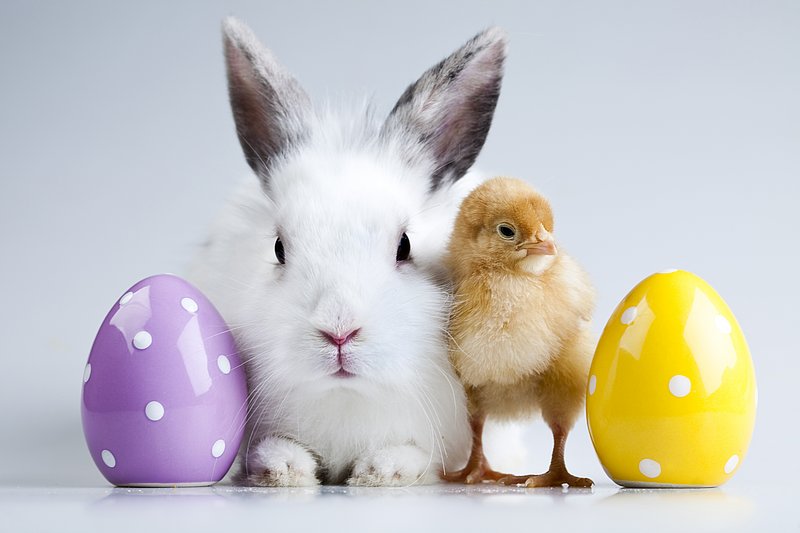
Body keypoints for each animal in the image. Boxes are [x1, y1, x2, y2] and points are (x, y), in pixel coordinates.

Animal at [189, 17, 506, 486]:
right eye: (279, 248)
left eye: (404, 246)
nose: (339, 332)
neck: (346, 395)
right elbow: (272, 449)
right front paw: (284, 469)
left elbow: (418, 457)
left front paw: (381, 472)